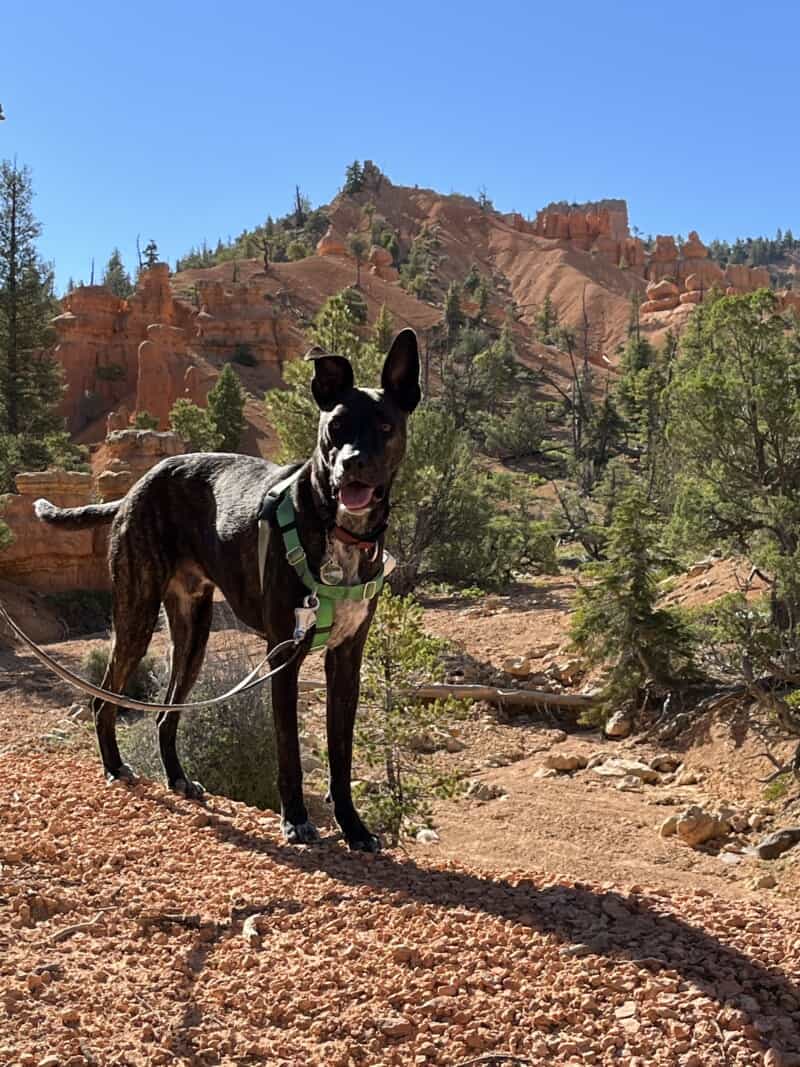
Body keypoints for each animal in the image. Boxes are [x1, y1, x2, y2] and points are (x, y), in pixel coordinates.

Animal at [36, 328, 426, 853]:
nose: (353, 464)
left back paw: (178, 779)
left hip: (193, 633)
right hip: (136, 613)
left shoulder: (346, 661)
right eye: (337, 425)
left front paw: (353, 827)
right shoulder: (284, 654)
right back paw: (115, 767)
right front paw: (295, 820)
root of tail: (136, 486)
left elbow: (340, 757)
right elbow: (289, 751)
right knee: (105, 699)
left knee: (165, 714)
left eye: (385, 426)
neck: (338, 531)